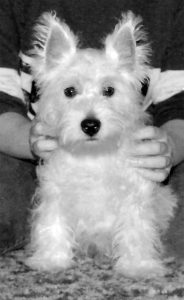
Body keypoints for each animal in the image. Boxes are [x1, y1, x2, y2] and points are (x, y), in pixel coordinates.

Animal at [27, 11, 177, 278]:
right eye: (69, 91)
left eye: (109, 90)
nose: (90, 125)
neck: (93, 153)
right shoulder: (56, 192)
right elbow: (52, 224)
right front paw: (51, 260)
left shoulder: (134, 196)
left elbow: (136, 231)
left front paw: (138, 266)